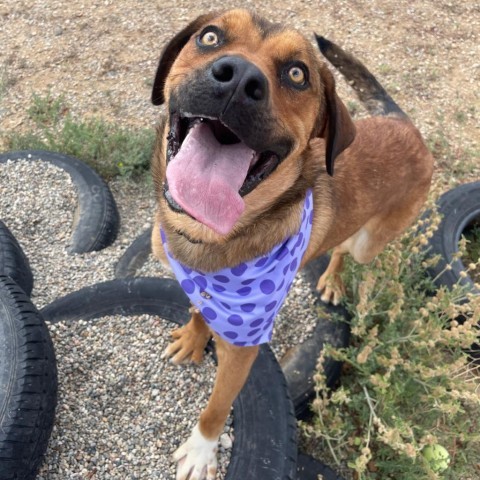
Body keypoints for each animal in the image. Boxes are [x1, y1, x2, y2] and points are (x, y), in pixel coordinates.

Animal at [150, 9, 436, 478]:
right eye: (209, 37)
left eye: (297, 74)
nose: (238, 77)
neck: (210, 236)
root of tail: (404, 123)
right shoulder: (197, 281)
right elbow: (197, 307)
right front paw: (194, 336)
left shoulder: (243, 349)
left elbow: (216, 408)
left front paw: (201, 450)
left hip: (370, 241)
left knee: (347, 249)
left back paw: (335, 280)